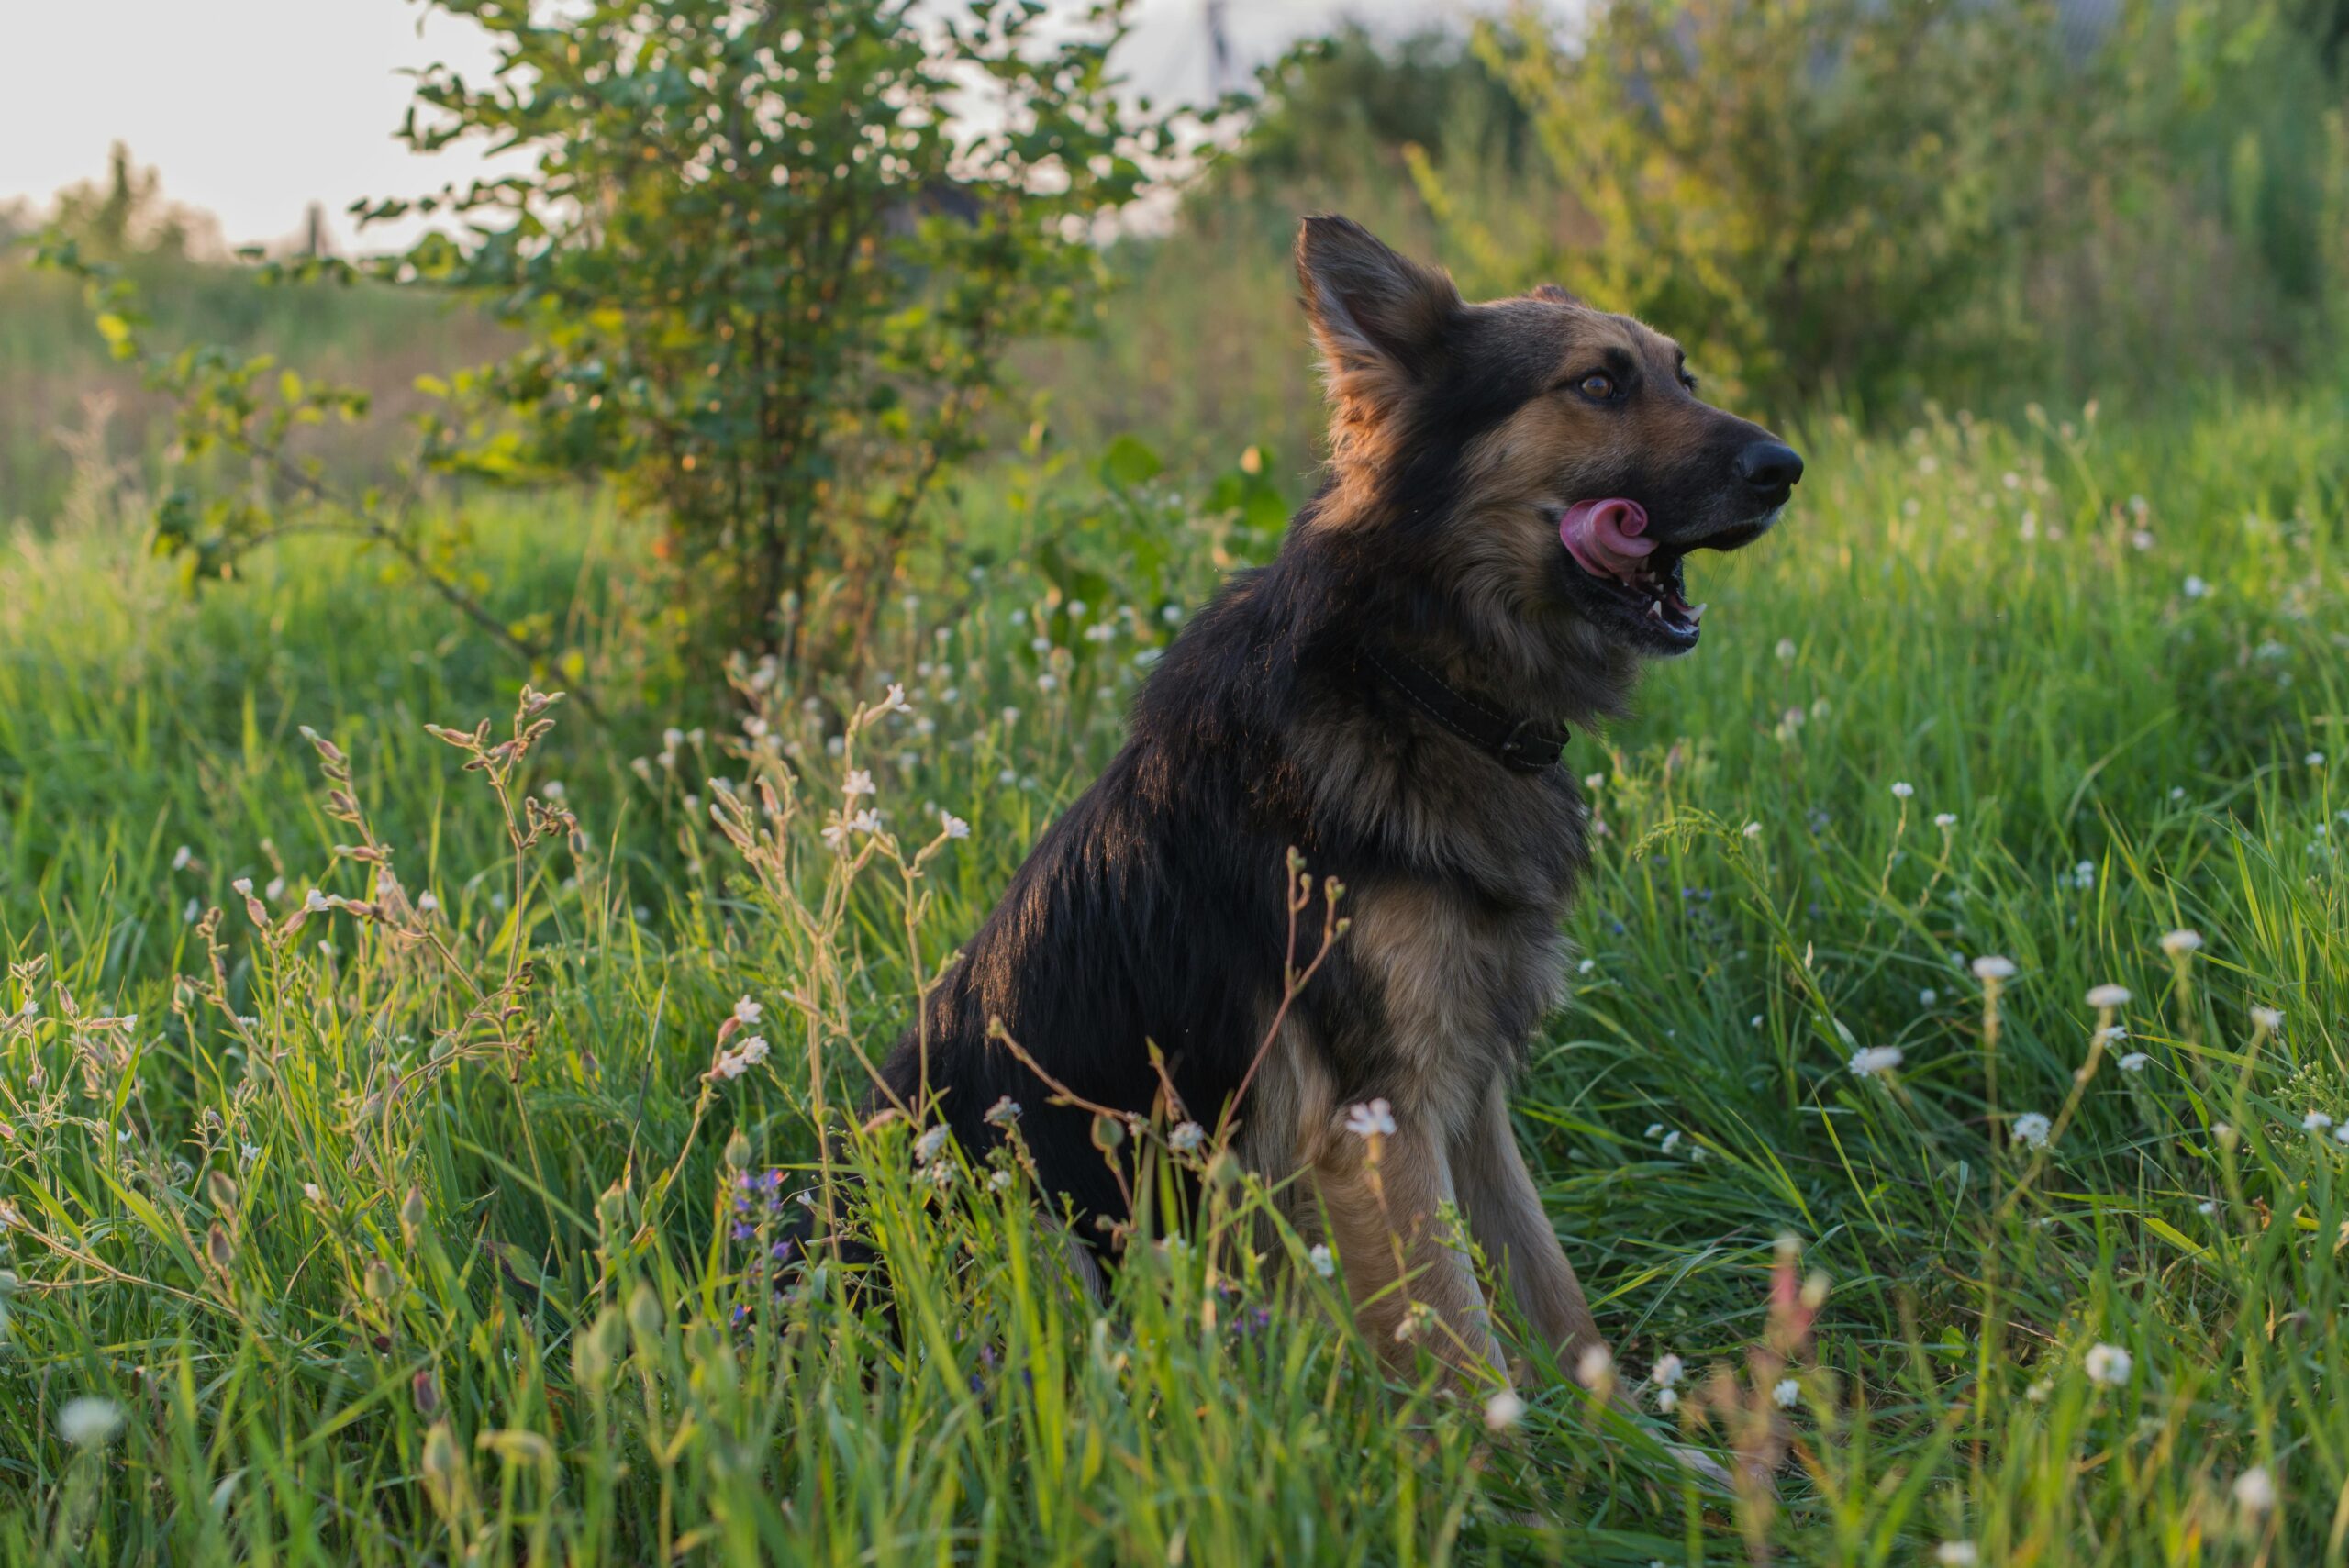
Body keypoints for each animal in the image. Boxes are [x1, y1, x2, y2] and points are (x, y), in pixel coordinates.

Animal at [864, 215, 1794, 1389]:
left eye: (1683, 374)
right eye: (1597, 383)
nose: (1786, 467)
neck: (1416, 680)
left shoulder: (1467, 1097)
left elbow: (1557, 1301)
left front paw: (1629, 1434)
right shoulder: (1376, 1124)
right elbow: (1469, 1355)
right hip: (1026, 1220)